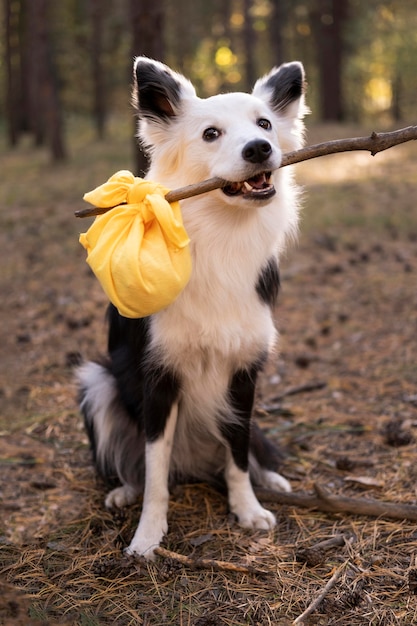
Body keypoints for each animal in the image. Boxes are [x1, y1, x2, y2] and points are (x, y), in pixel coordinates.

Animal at [77, 57, 306, 556]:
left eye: (264, 124)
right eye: (211, 134)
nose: (260, 149)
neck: (221, 237)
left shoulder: (243, 373)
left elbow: (238, 453)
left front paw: (247, 508)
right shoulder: (159, 377)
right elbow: (155, 470)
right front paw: (148, 535)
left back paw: (272, 479)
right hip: (97, 382)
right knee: (134, 464)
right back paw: (124, 491)